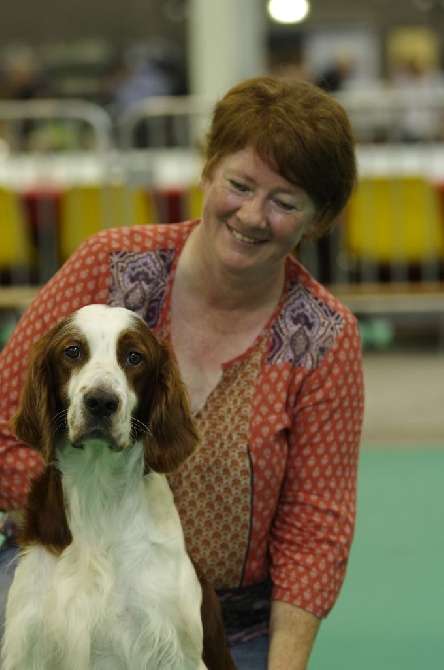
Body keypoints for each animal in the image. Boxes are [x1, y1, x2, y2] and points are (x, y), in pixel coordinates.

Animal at [0, 306, 236, 670]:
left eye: (134, 357)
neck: (98, 492)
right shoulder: (30, 641)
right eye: (72, 351)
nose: (101, 401)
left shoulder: (172, 649)